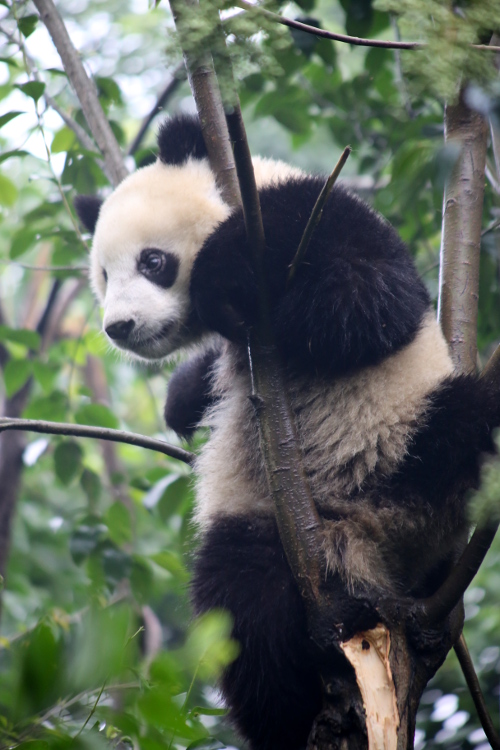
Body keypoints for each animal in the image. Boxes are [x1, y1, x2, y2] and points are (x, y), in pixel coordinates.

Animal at [75, 114, 499, 750]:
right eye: (104, 275)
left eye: (153, 262)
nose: (119, 326)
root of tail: (382, 551)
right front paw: (183, 395)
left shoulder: (323, 212)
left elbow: (365, 302)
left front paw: (219, 272)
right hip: (272, 520)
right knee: (245, 606)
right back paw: (300, 717)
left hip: (408, 448)